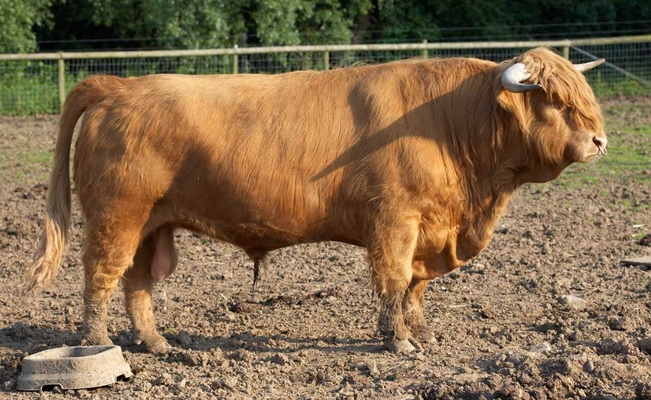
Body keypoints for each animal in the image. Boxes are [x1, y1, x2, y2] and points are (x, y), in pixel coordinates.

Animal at [25, 47, 607, 354]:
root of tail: (117, 86)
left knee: (138, 283)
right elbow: (394, 282)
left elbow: (415, 288)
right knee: (102, 277)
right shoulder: (395, 223)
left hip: (151, 224)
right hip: (117, 216)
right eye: (555, 101)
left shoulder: (429, 230)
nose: (601, 141)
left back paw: (158, 344)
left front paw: (422, 332)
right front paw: (398, 342)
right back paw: (98, 343)